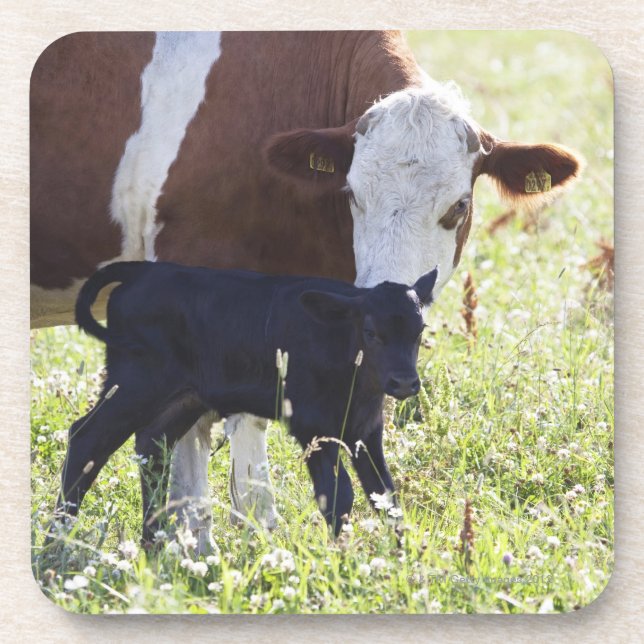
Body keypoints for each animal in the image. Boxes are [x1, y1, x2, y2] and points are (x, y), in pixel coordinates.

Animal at [54, 261, 438, 542]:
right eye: (371, 332)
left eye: (419, 331)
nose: (404, 382)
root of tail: (143, 269)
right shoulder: (312, 426)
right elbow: (337, 496)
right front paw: (341, 559)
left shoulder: (365, 432)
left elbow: (384, 494)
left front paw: (402, 557)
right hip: (134, 383)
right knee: (87, 439)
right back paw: (57, 540)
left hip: (183, 398)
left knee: (152, 445)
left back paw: (154, 543)